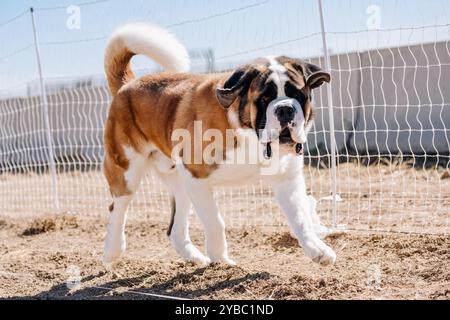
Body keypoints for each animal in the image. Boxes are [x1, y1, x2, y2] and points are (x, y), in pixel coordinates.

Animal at [101, 23, 334, 268]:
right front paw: (221, 260)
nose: (285, 108)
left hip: (180, 184)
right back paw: (112, 251)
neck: (249, 134)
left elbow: (301, 218)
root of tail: (128, 84)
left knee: (175, 230)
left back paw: (194, 258)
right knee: (118, 208)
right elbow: (215, 222)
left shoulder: (287, 179)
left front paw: (318, 249)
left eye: (298, 94)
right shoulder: (197, 178)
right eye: (264, 98)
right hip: (127, 171)